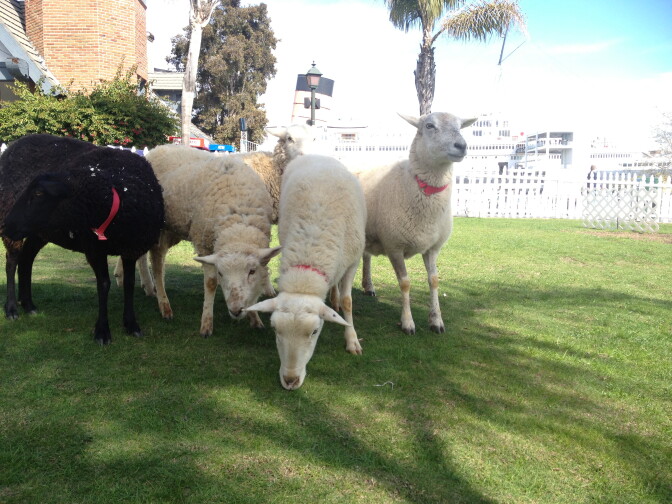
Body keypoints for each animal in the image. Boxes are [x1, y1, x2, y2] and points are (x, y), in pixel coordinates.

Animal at [2, 139, 164, 344]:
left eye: (38, 194)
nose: (6, 224)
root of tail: (12, 147)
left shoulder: (131, 248)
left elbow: (129, 283)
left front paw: (131, 324)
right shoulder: (94, 249)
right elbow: (104, 284)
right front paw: (102, 331)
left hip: (39, 231)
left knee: (26, 260)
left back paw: (29, 305)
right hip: (16, 225)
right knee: (12, 262)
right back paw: (11, 309)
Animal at [138, 144, 280, 337]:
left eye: (252, 271)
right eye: (220, 273)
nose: (236, 310)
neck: (238, 222)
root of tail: (157, 148)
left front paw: (255, 318)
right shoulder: (204, 243)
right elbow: (210, 283)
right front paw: (206, 324)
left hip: (171, 228)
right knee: (157, 263)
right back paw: (164, 304)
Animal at [246, 154, 366, 390]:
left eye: (315, 331)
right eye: (275, 329)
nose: (290, 381)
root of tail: (318, 155)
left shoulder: (353, 261)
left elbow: (348, 301)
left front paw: (352, 340)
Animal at [356, 112, 477, 335]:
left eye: (459, 126)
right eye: (429, 125)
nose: (461, 145)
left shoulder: (432, 248)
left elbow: (434, 281)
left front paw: (436, 320)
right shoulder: (394, 246)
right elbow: (405, 283)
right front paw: (407, 322)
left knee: (366, 256)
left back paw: (368, 286)